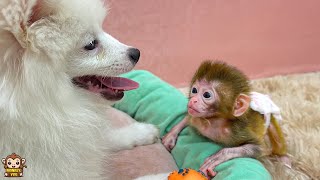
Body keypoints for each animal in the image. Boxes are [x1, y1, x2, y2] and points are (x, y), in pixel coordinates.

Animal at [162, 60, 290, 177]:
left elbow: (262, 149)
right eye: (194, 90)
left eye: (207, 95)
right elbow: (189, 117)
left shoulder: (238, 130)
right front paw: (171, 135)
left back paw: (284, 159)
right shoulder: (197, 120)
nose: (193, 101)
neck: (214, 121)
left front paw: (217, 157)